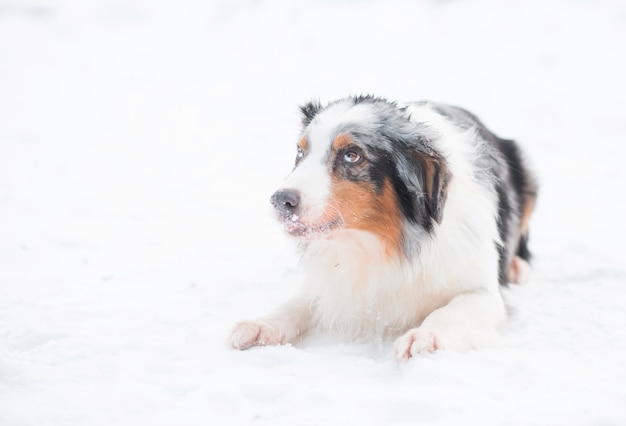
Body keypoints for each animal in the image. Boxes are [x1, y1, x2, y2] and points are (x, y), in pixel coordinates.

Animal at [229, 95, 536, 360]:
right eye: (300, 152)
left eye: (352, 155)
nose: (280, 201)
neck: (378, 244)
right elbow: (295, 303)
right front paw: (260, 325)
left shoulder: (482, 291)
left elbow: (449, 313)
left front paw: (425, 337)